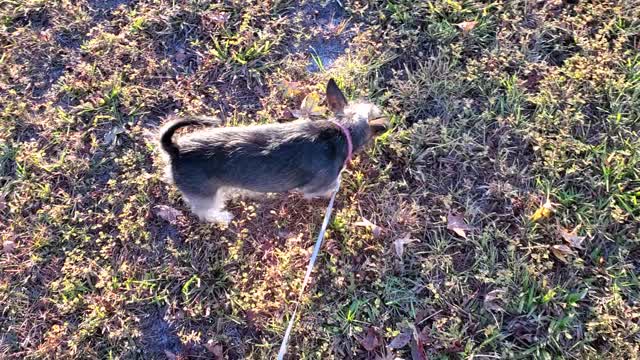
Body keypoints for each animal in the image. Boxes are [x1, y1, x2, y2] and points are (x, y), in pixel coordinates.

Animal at [159, 79, 390, 222]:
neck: (343, 131)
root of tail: (175, 150)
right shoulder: (316, 187)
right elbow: (331, 187)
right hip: (206, 196)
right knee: (205, 212)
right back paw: (223, 218)